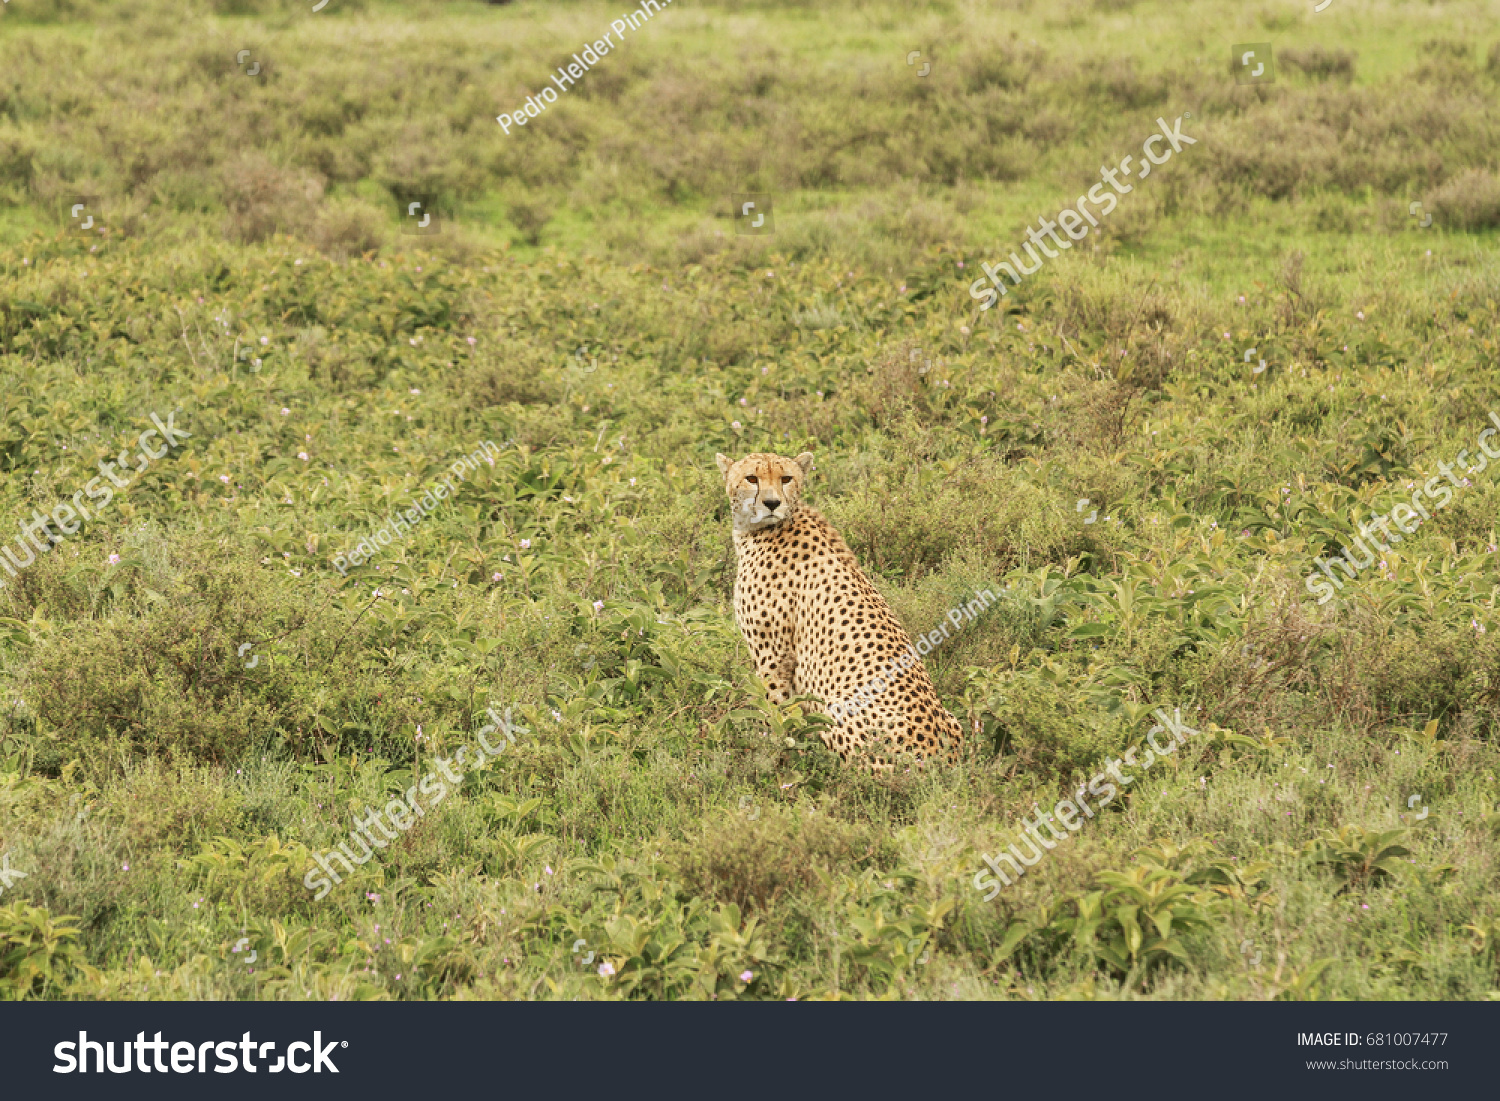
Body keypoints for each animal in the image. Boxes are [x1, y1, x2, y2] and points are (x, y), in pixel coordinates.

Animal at [717, 450, 972, 768]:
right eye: (751, 478)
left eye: (786, 478)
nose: (772, 503)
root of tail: (942, 759)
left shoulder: (773, 655)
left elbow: (774, 711)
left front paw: (766, 750)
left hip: (835, 710)